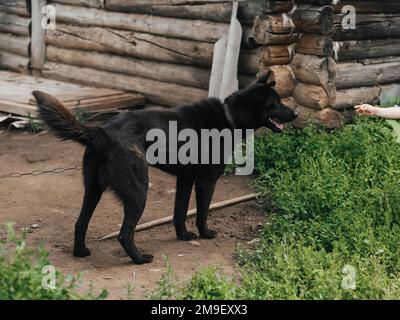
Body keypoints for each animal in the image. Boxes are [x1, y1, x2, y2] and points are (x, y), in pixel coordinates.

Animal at [32, 72, 296, 264]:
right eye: (276, 103)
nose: (296, 112)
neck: (229, 116)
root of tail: (102, 132)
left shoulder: (185, 180)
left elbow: (180, 213)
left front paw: (183, 236)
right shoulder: (206, 182)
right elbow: (202, 213)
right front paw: (205, 233)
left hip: (93, 189)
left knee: (80, 223)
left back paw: (81, 252)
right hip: (138, 193)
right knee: (124, 234)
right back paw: (139, 259)